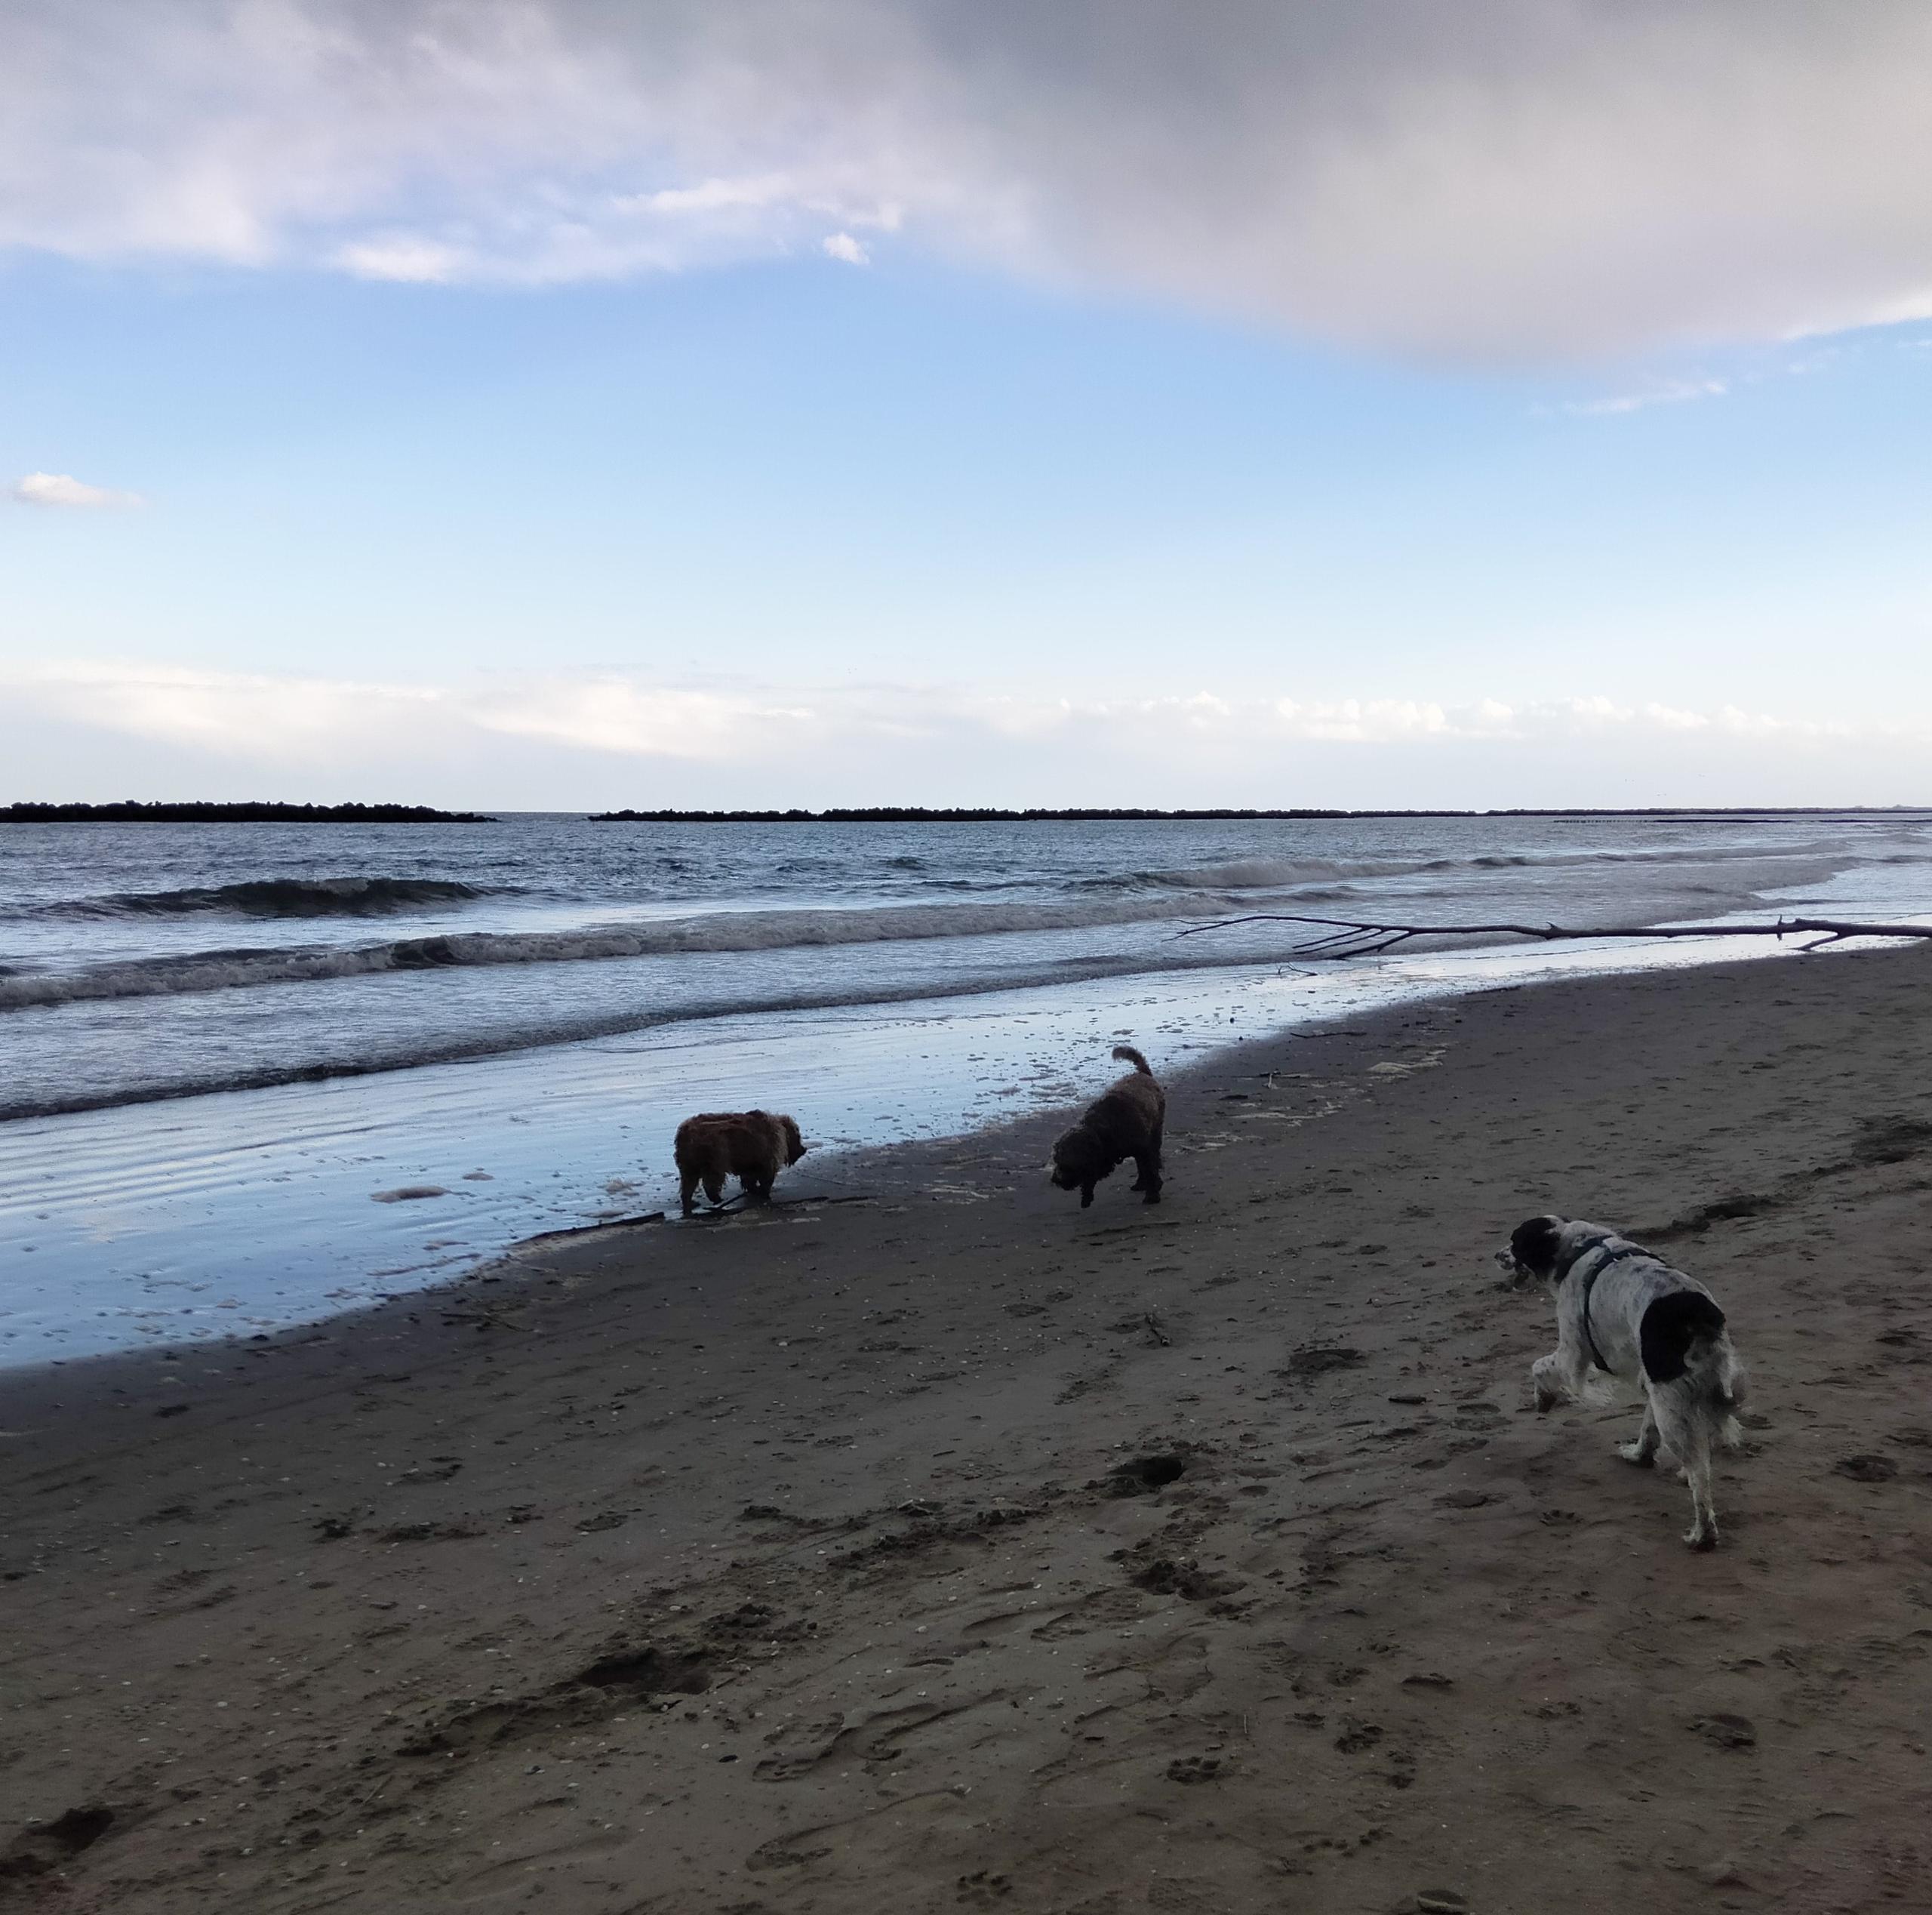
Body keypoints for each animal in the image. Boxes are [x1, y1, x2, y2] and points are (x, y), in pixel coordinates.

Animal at [672, 1105, 808, 1213]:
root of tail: (686, 1133)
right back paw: (716, 1198)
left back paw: (690, 1201)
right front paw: (764, 1193)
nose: (804, 1149)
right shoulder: (768, 1159)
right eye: (798, 1137)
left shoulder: (751, 1161)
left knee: (688, 1183)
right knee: (711, 1180)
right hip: (716, 1156)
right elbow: (766, 1178)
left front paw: (754, 1190)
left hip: (689, 1164)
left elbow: (749, 1178)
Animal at [1058, 1051, 1159, 1213]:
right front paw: (1086, 1196)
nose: (1055, 1180)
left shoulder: (1143, 1150)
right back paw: (1140, 1184)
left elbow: (1151, 1170)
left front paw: (1153, 1195)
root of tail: (1143, 1074)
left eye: (1066, 1164)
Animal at [1491, 1221, 1754, 1553]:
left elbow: (1539, 1366)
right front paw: (1639, 1456)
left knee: (1700, 1476)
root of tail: (1696, 1315)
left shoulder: (1572, 1355)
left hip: (1669, 1400)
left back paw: (1702, 1535)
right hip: (1673, 1392)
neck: (1575, 1249)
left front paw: (1544, 1398)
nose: (1496, 1255)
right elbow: (1647, 1431)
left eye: (1515, 1242)